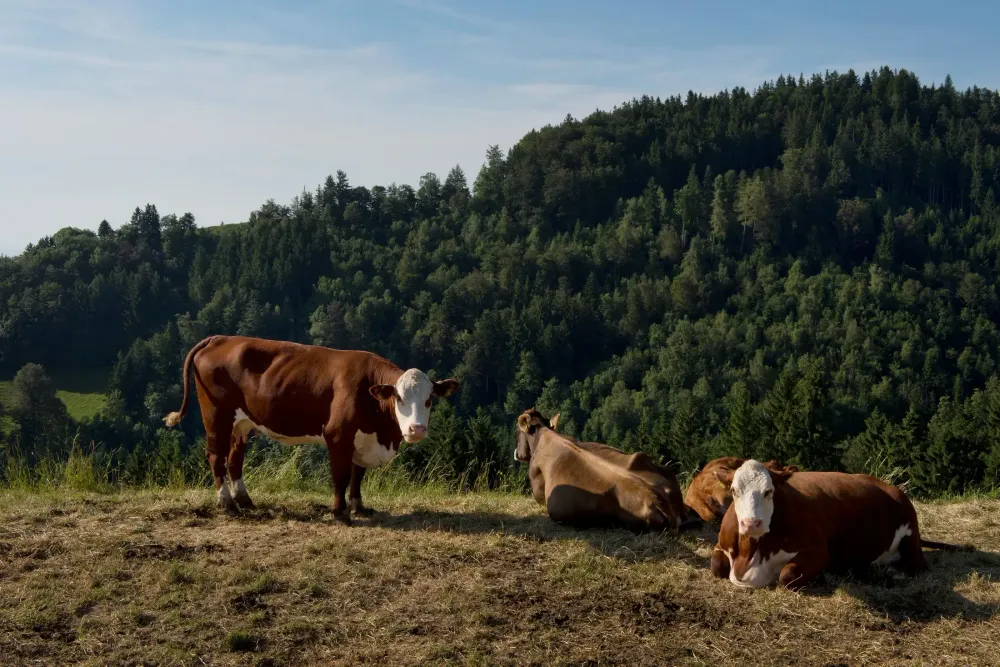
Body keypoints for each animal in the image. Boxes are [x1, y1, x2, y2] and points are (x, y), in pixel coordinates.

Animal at [162, 335, 459, 523]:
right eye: (399, 398)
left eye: (429, 400)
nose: (416, 429)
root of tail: (220, 338)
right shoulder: (337, 435)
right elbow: (341, 476)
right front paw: (339, 513)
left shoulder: (362, 439)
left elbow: (357, 475)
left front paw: (359, 507)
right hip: (217, 417)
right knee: (216, 456)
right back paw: (227, 504)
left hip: (242, 424)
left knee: (235, 459)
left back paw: (244, 500)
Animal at [709, 459, 968, 590]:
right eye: (734, 491)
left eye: (768, 491)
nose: (752, 523)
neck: (750, 555)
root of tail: (891, 488)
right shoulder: (721, 545)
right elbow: (716, 566)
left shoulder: (819, 552)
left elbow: (787, 575)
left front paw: (821, 577)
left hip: (910, 533)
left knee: (917, 565)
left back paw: (892, 573)